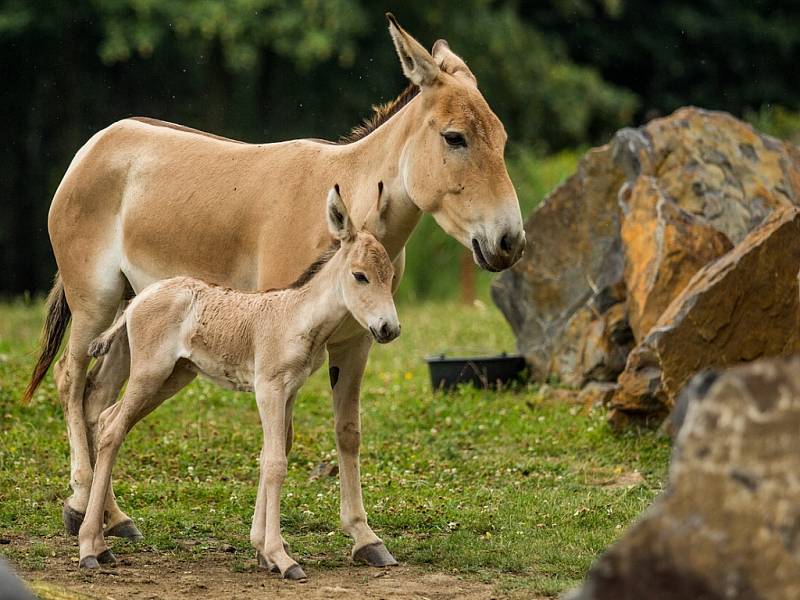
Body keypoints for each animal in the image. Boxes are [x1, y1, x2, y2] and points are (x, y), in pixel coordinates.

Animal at [78, 185, 396, 580]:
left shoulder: (289, 391)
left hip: (173, 377)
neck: (297, 316)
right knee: (112, 429)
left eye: (390, 275)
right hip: (149, 374)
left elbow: (270, 454)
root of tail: (139, 299)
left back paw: (101, 546)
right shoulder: (269, 389)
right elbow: (276, 462)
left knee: (110, 419)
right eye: (360, 276)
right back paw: (89, 548)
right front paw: (281, 557)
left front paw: (263, 549)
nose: (389, 329)